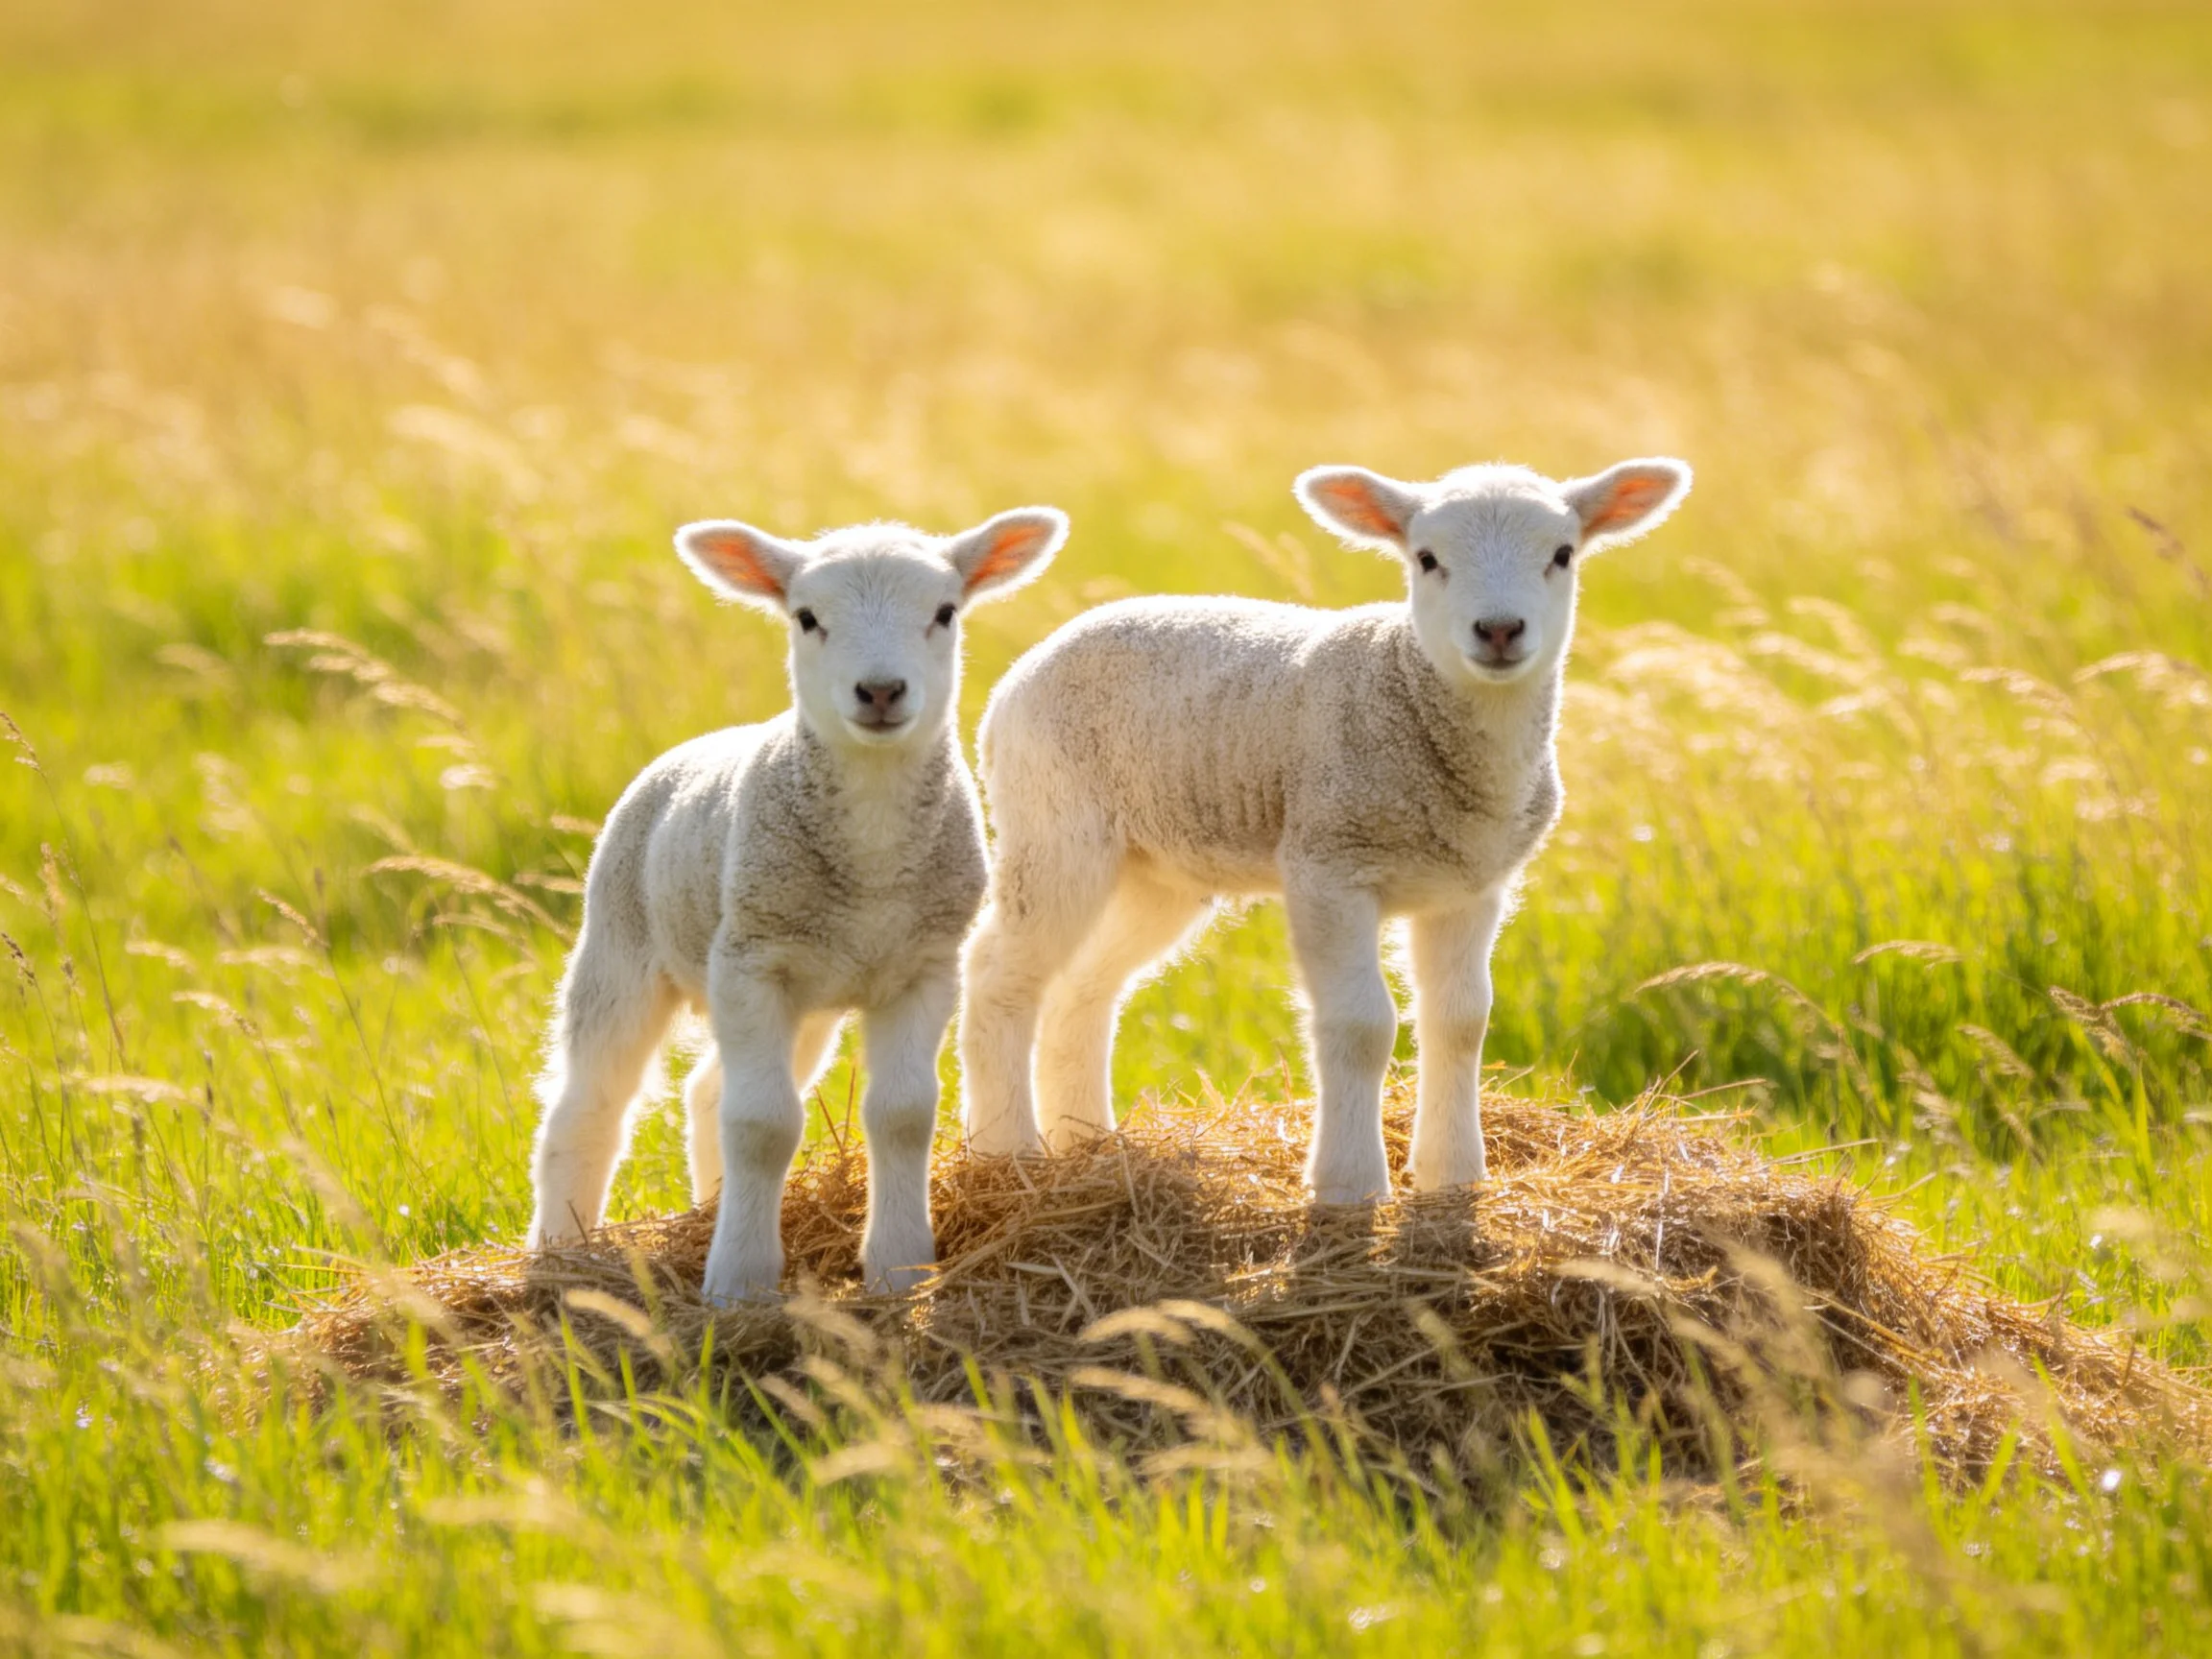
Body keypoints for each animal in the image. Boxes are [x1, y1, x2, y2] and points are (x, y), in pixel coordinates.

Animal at [526, 506, 1067, 1304]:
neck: (872, 861)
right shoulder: (752, 963)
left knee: (705, 1093)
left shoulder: (924, 966)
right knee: (589, 1108)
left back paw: (710, 1210)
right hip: (623, 946)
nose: (881, 691)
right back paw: (560, 1255)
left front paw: (899, 1267)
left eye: (945, 612)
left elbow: (901, 1115)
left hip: (804, 997)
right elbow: (762, 1126)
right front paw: (740, 1284)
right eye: (807, 618)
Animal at [957, 458, 1690, 1202]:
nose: (1499, 630)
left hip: (1157, 868)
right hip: (1053, 823)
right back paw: (1006, 1153)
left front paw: (1452, 1175)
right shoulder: (1328, 864)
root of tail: (1035, 658)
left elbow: (1460, 1021)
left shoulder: (1469, 887)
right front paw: (1350, 1183)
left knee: (1082, 989)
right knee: (996, 974)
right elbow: (1361, 1024)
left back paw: (1088, 1145)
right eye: (1427, 559)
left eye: (1563, 554)